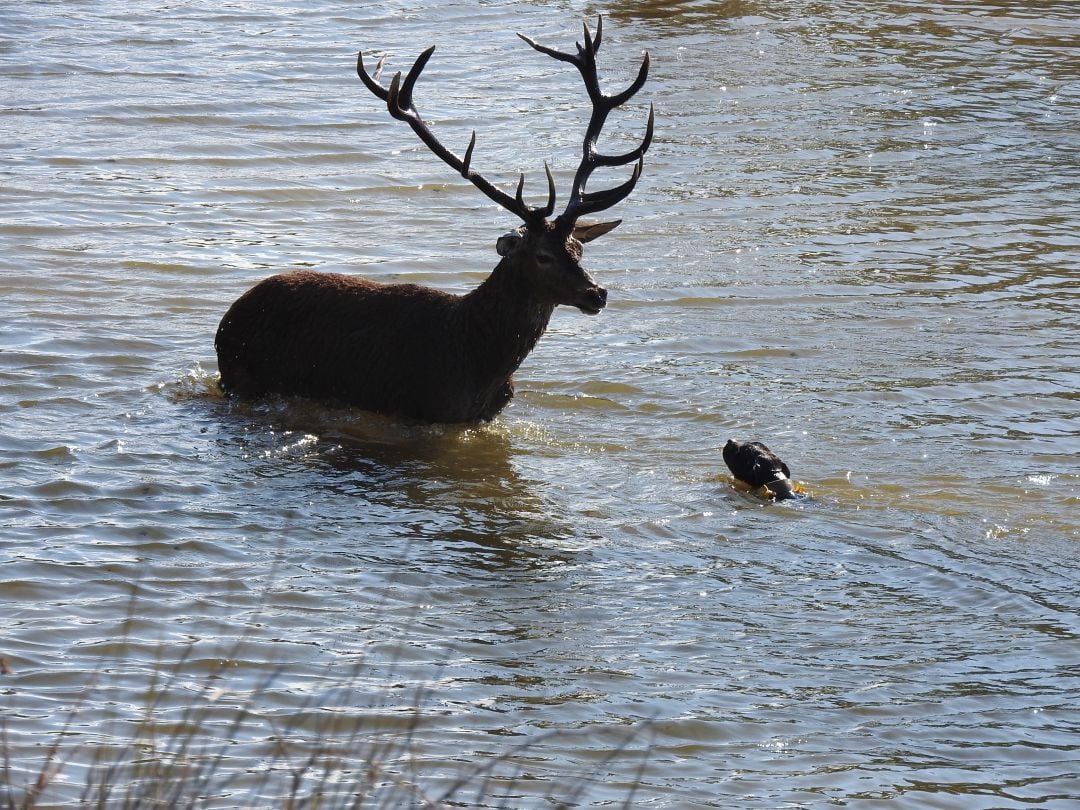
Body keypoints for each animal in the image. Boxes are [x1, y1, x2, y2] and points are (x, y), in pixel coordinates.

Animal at [210, 17, 648, 425]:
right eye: (542, 255)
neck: (476, 364)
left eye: (578, 249)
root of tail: (226, 319)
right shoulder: (418, 410)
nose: (597, 294)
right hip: (242, 376)